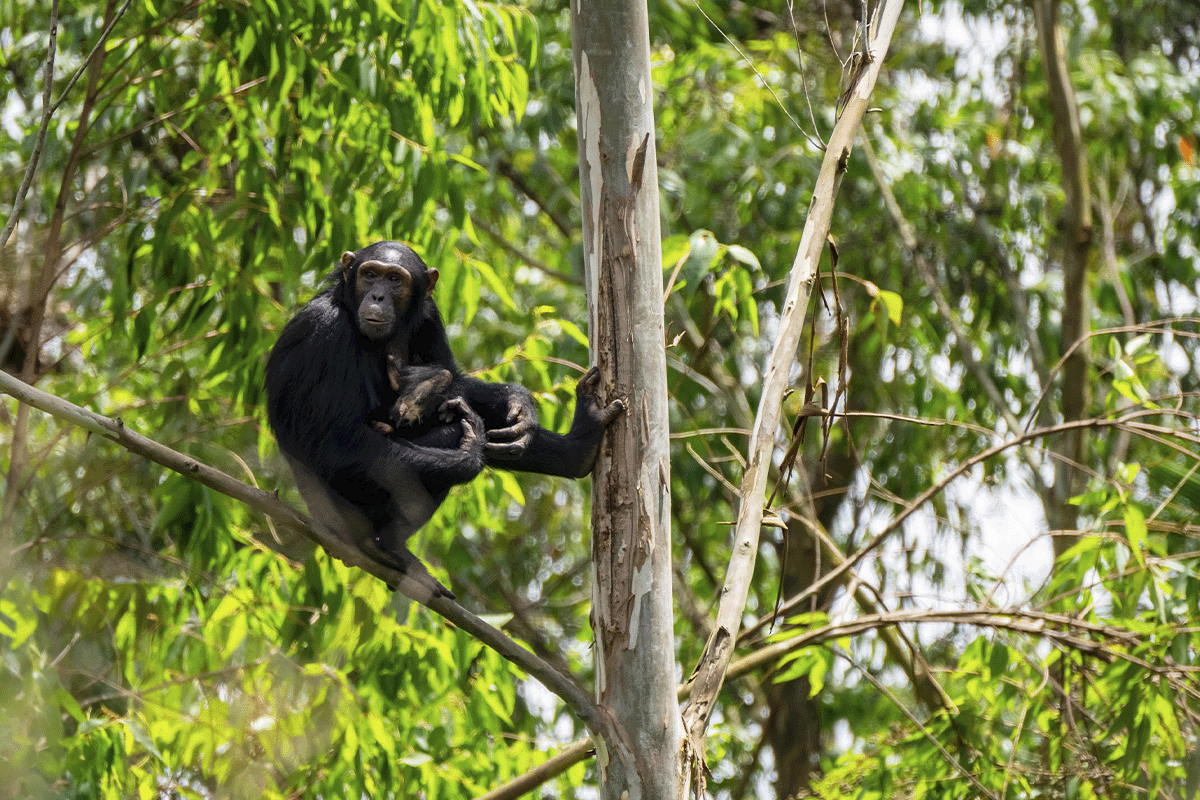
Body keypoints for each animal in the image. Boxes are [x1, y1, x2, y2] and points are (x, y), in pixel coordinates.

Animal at [266, 241, 624, 597]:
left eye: (394, 279)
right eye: (369, 275)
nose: (378, 296)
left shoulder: (430, 316)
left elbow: (452, 374)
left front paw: (517, 402)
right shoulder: (324, 329)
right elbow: (339, 443)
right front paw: (467, 452)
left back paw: (581, 445)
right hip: (345, 514)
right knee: (442, 439)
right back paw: (385, 547)